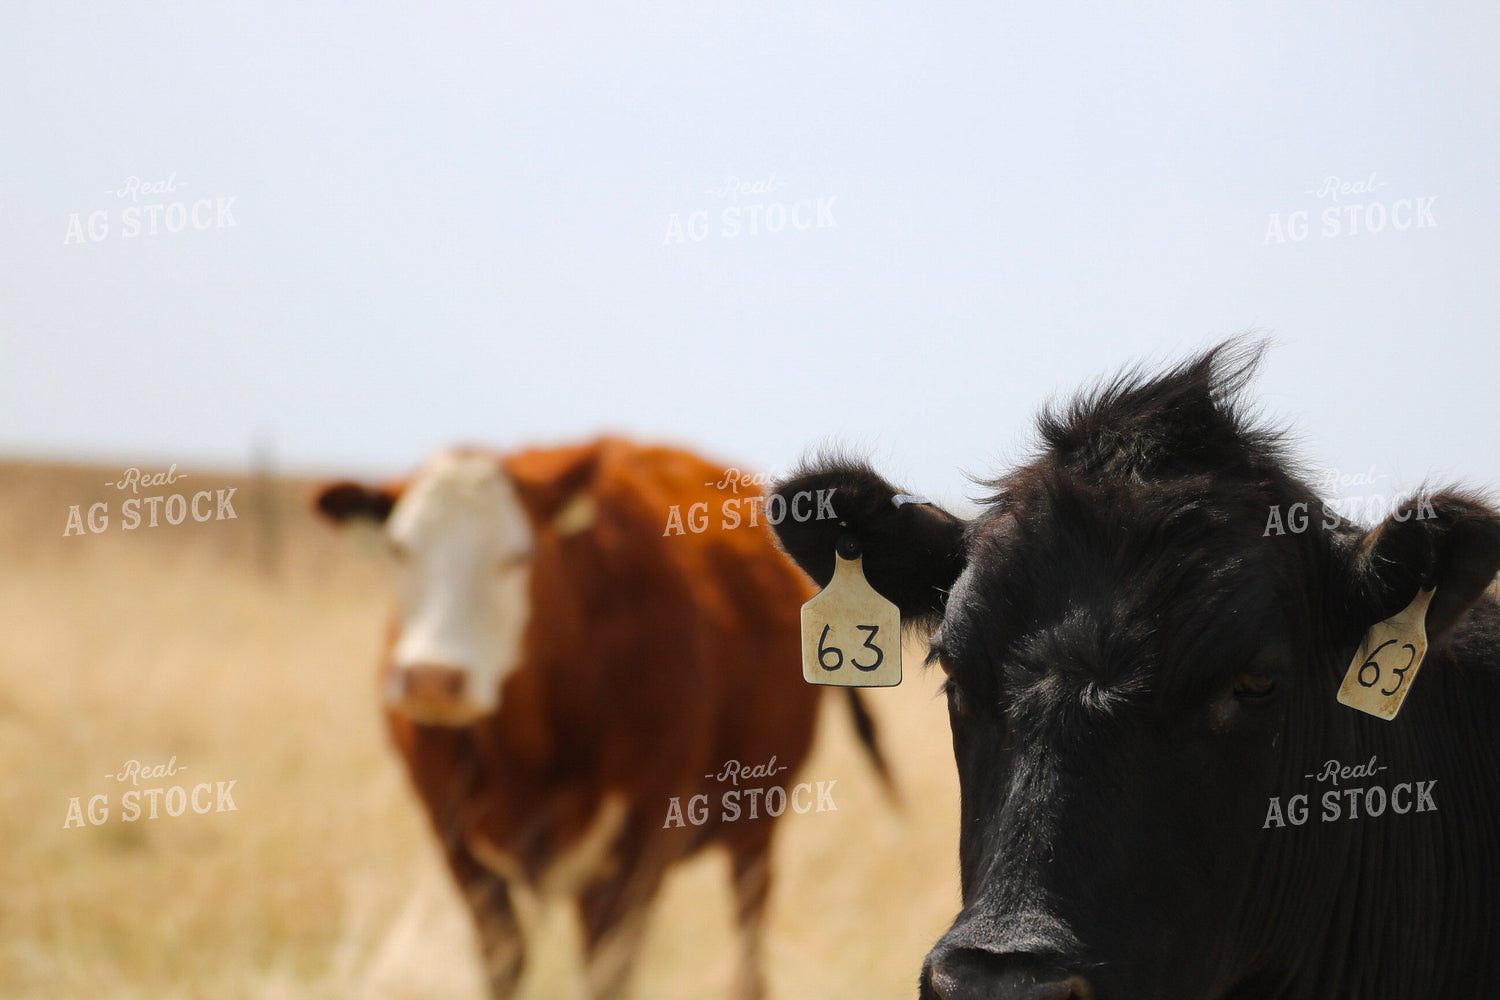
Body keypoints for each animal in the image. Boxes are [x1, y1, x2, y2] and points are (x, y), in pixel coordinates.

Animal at [314, 437, 891, 1000]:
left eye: (517, 556)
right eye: (398, 550)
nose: (432, 678)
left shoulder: (641, 849)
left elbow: (609, 975)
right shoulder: (459, 850)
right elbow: (505, 966)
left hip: (756, 831)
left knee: (749, 943)